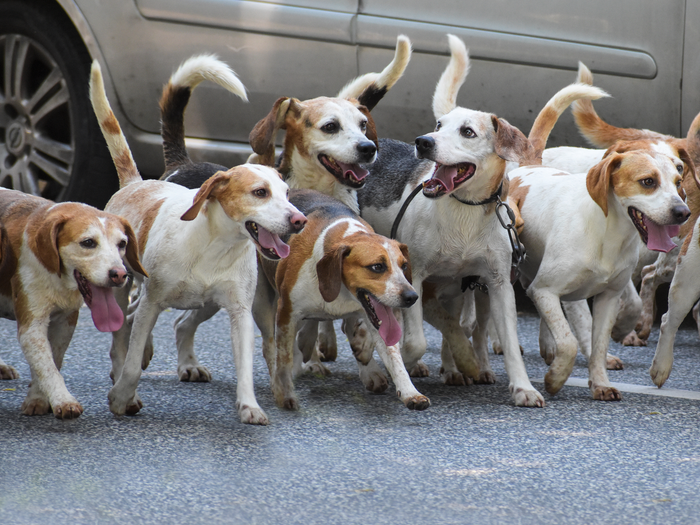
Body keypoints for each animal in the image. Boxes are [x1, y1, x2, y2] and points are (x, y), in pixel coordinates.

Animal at [0, 188, 145, 418]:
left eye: (122, 244)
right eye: (88, 242)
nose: (120, 274)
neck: (57, 277)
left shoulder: (65, 322)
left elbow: (52, 360)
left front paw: (38, 397)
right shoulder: (32, 326)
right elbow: (47, 366)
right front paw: (62, 400)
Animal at [88, 61, 306, 424]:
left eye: (287, 194)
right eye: (260, 192)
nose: (299, 220)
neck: (213, 248)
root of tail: (135, 183)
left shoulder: (240, 312)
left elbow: (246, 366)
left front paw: (249, 406)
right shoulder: (151, 304)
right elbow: (132, 359)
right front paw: (121, 396)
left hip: (214, 304)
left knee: (178, 325)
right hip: (120, 289)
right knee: (122, 336)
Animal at [165, 36, 412, 380]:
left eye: (363, 125)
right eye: (330, 127)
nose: (368, 148)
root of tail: (183, 162)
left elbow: (354, 315)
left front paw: (363, 350)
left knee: (182, 322)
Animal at [254, 187, 430, 410]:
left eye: (404, 265)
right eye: (377, 267)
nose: (412, 297)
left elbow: (394, 357)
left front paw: (410, 392)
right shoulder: (286, 312)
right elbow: (284, 355)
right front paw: (285, 391)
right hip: (261, 304)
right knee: (271, 345)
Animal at [356, 34, 608, 408]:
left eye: (468, 132)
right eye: (439, 126)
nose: (423, 142)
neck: (465, 212)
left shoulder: (499, 285)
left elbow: (507, 344)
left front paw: (523, 388)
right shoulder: (416, 277)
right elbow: (413, 341)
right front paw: (401, 359)